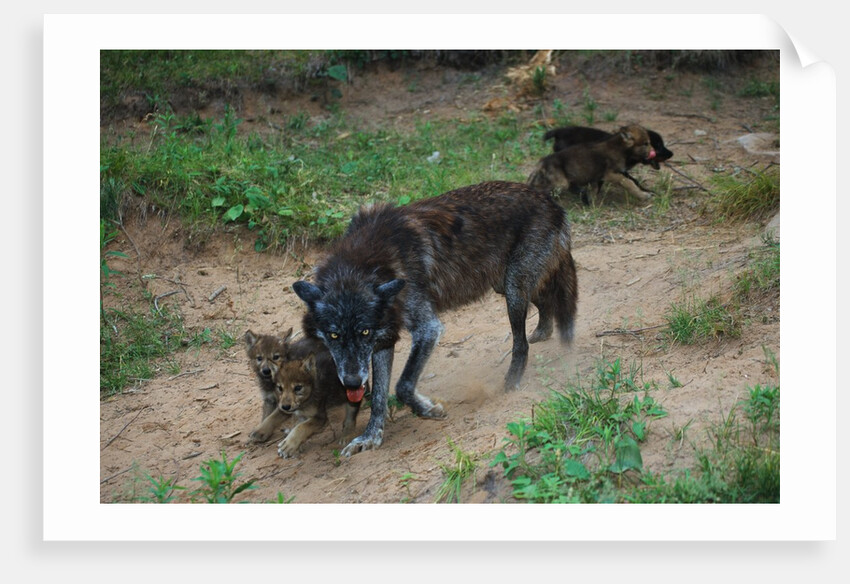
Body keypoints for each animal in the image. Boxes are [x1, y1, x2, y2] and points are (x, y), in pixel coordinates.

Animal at [292, 181, 578, 457]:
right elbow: (379, 398)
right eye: (334, 335)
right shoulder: (383, 341)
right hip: (505, 285)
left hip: (513, 290)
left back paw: (512, 381)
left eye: (363, 332)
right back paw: (543, 331)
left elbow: (403, 385)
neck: (367, 263)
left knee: (522, 343)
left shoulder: (427, 328)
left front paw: (429, 409)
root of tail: (550, 201)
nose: (352, 383)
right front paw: (370, 438)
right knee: (543, 301)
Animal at [529, 124, 658, 204]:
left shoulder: (599, 177)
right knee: (540, 189)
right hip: (561, 184)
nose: (654, 153)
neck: (621, 149)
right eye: (646, 144)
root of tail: (542, 162)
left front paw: (591, 204)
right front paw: (643, 196)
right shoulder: (611, 174)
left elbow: (594, 191)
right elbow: (629, 183)